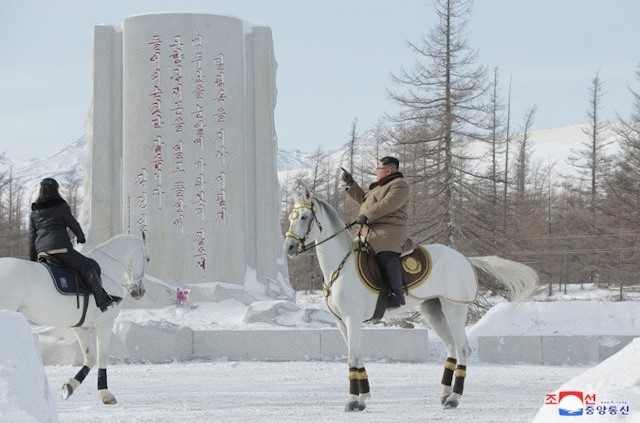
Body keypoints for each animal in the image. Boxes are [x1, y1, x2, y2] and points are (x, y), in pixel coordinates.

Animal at [0, 235, 146, 404]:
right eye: (147, 259)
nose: (138, 292)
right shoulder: (105, 323)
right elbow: (102, 356)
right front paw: (105, 394)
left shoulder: (81, 327)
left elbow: (90, 358)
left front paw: (68, 387)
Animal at [282, 190, 536, 412]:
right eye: (291, 217)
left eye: (304, 217)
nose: (289, 247)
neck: (340, 267)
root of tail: (464, 259)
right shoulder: (342, 322)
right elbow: (357, 355)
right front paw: (363, 398)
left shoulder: (352, 319)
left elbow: (352, 356)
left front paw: (353, 401)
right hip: (434, 310)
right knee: (451, 347)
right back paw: (445, 394)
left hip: (453, 308)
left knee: (463, 348)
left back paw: (454, 398)